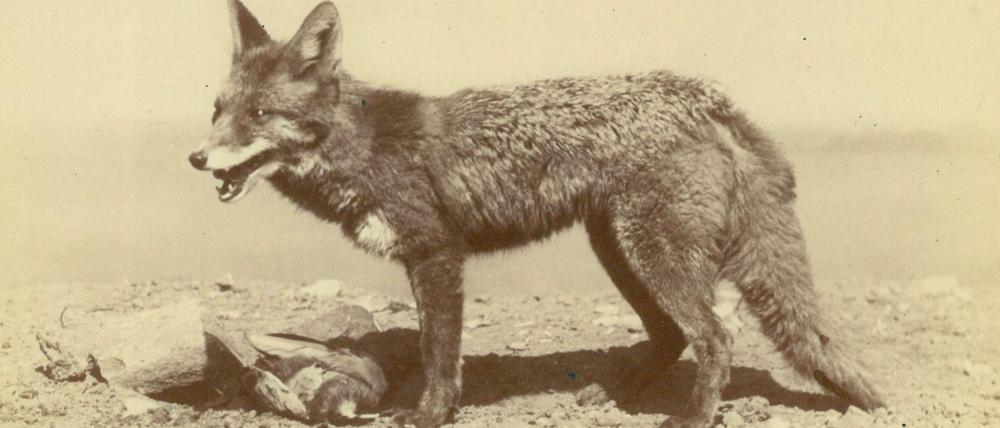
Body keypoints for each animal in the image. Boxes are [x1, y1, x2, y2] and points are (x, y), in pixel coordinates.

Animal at [189, 1, 884, 427]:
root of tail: (694, 92)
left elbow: (438, 351)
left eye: (258, 115)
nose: (196, 158)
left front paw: (430, 414)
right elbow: (433, 347)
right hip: (620, 253)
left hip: (651, 255)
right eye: (217, 110)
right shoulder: (426, 259)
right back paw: (612, 394)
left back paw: (691, 416)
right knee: (671, 336)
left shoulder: (437, 256)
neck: (361, 146)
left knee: (715, 336)